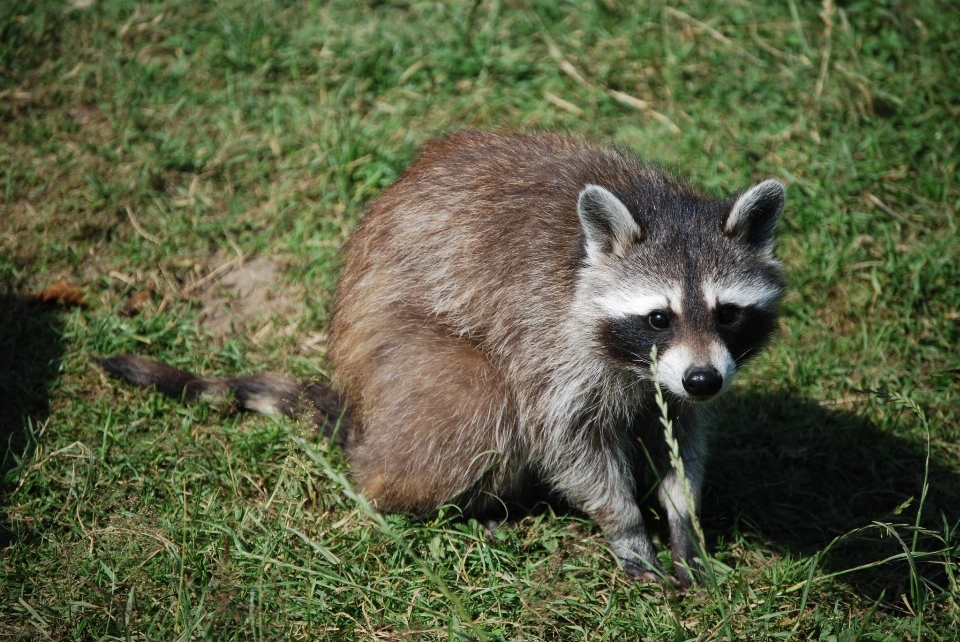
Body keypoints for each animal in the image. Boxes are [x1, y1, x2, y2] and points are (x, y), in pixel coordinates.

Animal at [99, 130, 788, 584]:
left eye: (727, 313)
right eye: (658, 317)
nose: (702, 378)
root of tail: (360, 407)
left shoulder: (680, 380)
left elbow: (682, 438)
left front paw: (683, 521)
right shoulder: (548, 337)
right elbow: (567, 440)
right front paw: (626, 528)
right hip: (404, 362)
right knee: (479, 398)